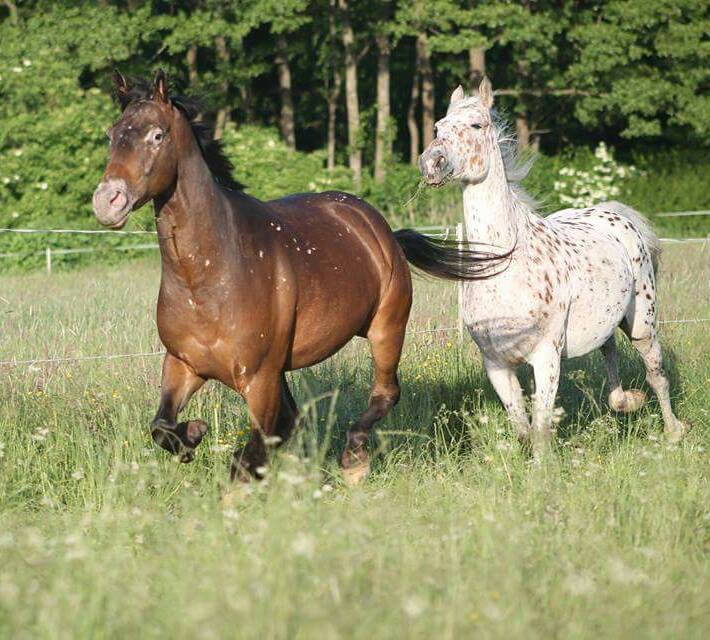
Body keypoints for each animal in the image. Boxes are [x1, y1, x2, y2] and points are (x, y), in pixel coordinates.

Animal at [92, 71, 508, 483]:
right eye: (112, 135)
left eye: (156, 135)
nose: (107, 201)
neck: (205, 280)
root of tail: (381, 230)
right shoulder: (183, 365)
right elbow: (161, 427)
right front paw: (193, 433)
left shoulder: (259, 379)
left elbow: (249, 455)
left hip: (386, 330)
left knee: (385, 393)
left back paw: (354, 459)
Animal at [418, 78, 691, 458]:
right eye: (439, 128)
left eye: (476, 125)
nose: (432, 163)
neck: (506, 268)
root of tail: (614, 215)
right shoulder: (496, 363)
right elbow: (521, 427)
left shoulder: (546, 356)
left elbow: (540, 430)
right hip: (605, 321)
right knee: (609, 351)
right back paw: (626, 401)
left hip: (642, 324)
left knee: (656, 375)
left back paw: (673, 432)